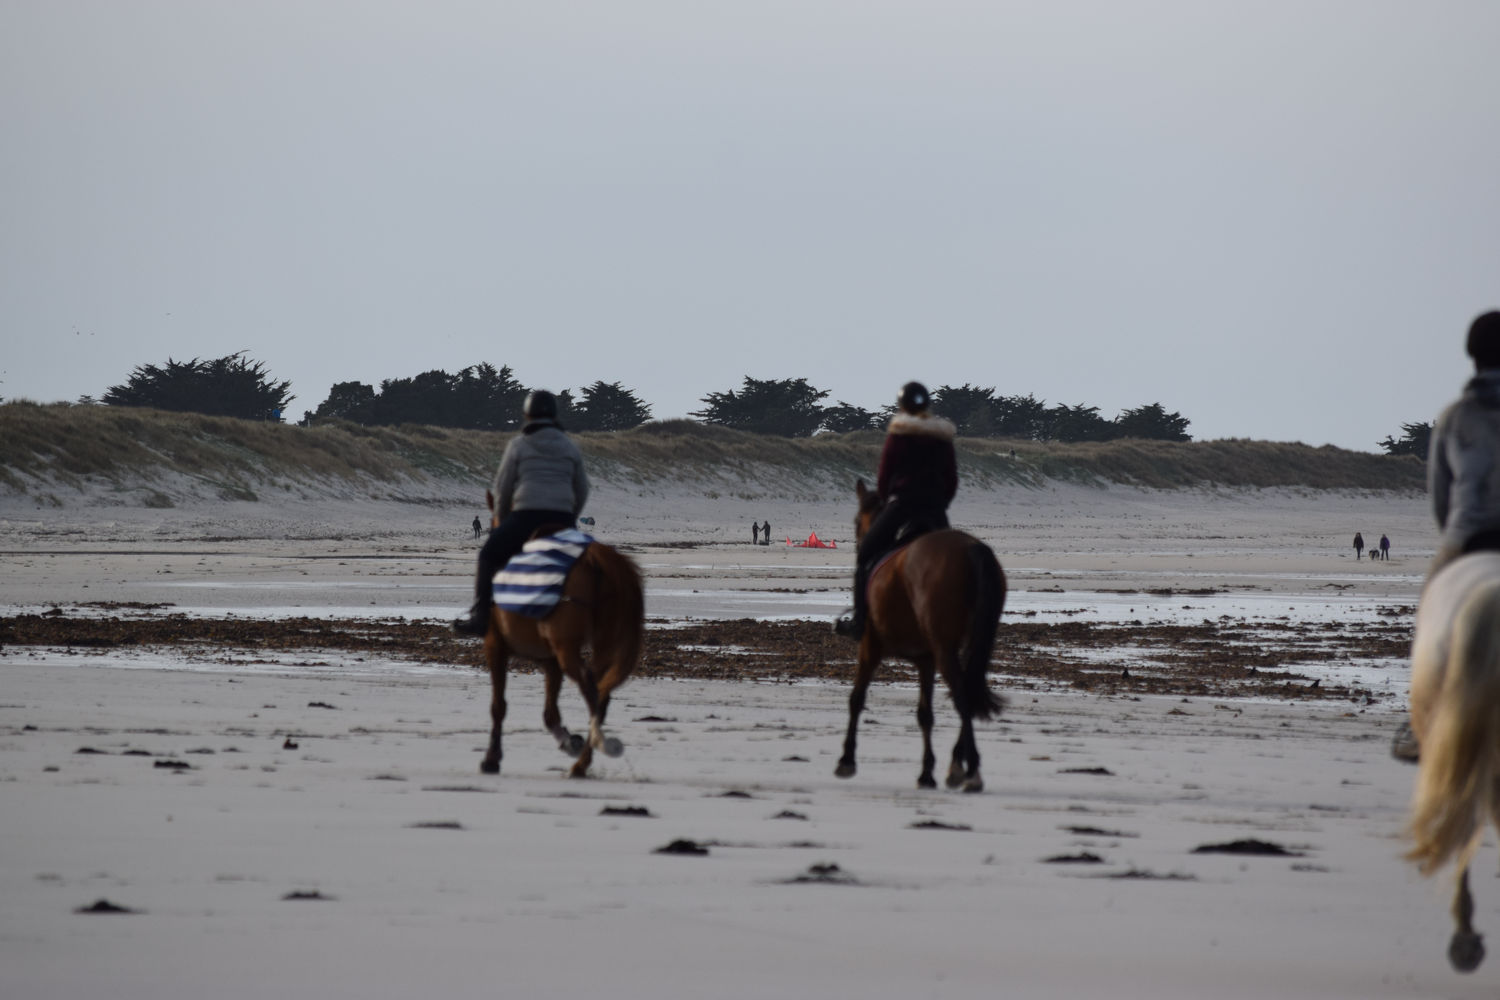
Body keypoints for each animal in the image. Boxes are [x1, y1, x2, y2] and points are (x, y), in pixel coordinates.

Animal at [480, 491, 645, 779]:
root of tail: (595, 557)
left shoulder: (496, 646)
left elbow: (498, 706)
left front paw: (492, 758)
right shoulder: (550, 661)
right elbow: (550, 713)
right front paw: (569, 741)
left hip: (567, 648)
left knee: (591, 689)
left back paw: (589, 756)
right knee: (601, 694)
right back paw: (585, 756)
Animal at [834, 479, 1008, 791]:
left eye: (856, 521)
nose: (858, 544)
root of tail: (971, 549)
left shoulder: (869, 647)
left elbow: (856, 699)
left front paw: (847, 760)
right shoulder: (926, 660)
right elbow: (925, 714)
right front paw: (927, 772)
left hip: (943, 649)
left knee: (962, 696)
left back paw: (971, 770)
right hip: (967, 645)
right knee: (968, 691)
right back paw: (958, 765)